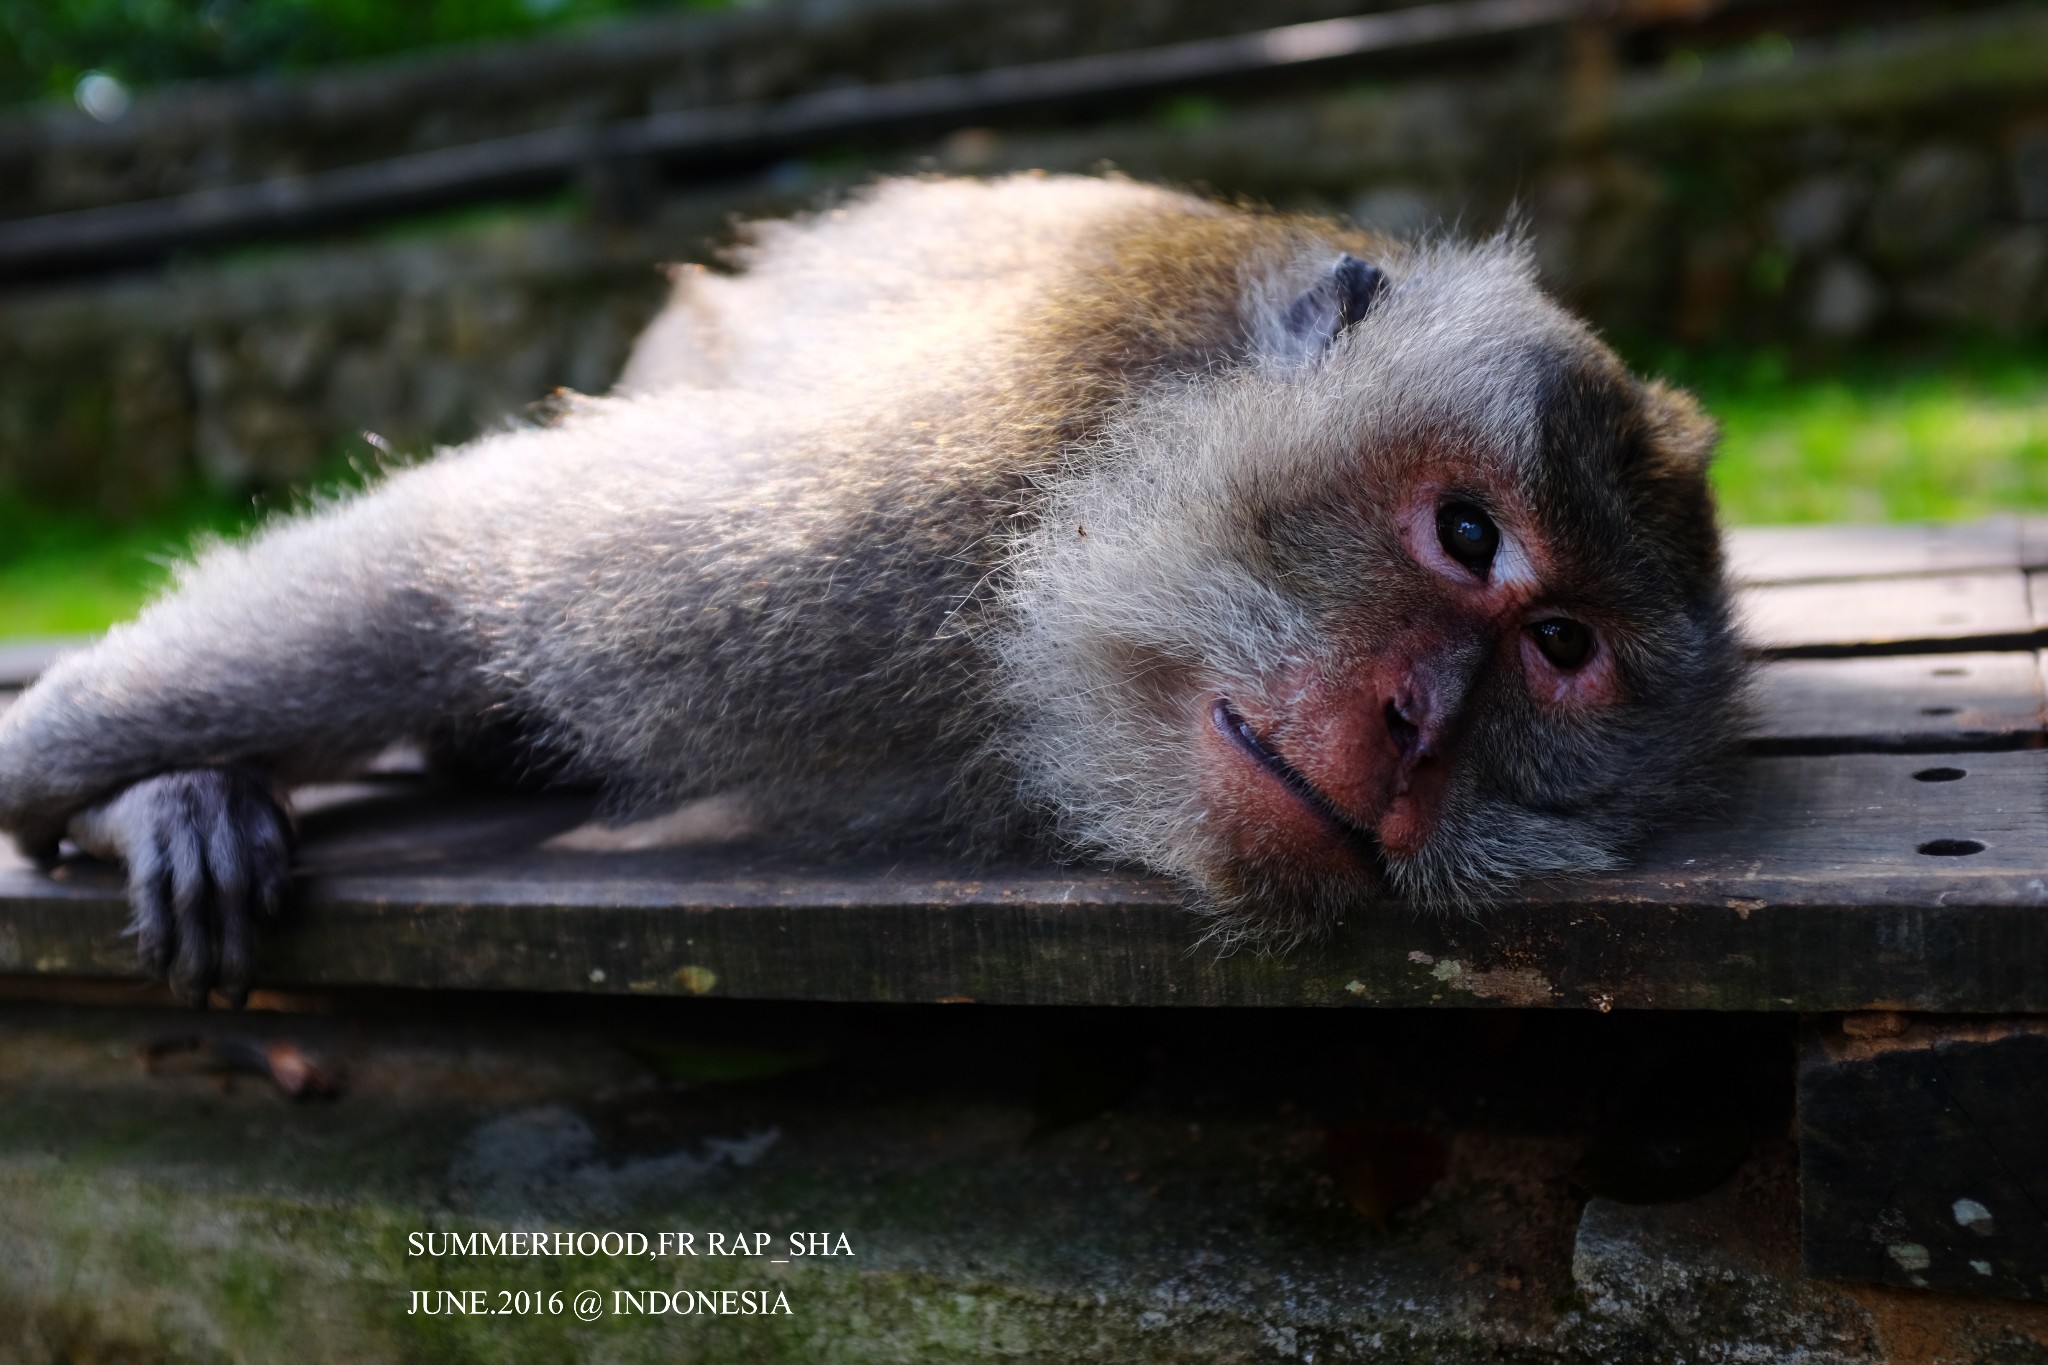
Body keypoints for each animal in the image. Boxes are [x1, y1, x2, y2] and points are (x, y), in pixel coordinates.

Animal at [0, 175, 1744, 998]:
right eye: (1467, 537)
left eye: (1561, 644)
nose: (1417, 722)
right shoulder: (926, 496)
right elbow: (458, 559)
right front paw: (63, 771)